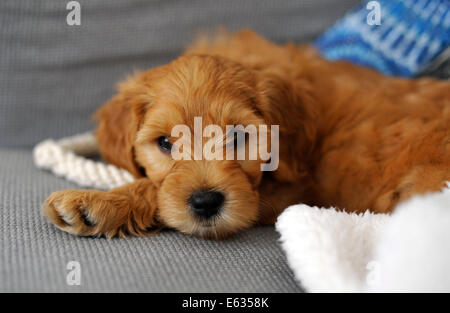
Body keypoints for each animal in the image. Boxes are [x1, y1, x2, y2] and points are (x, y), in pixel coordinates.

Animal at [43, 29, 450, 239]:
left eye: (238, 137)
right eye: (165, 143)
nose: (206, 202)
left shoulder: (294, 190)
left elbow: (153, 190)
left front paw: (97, 202)